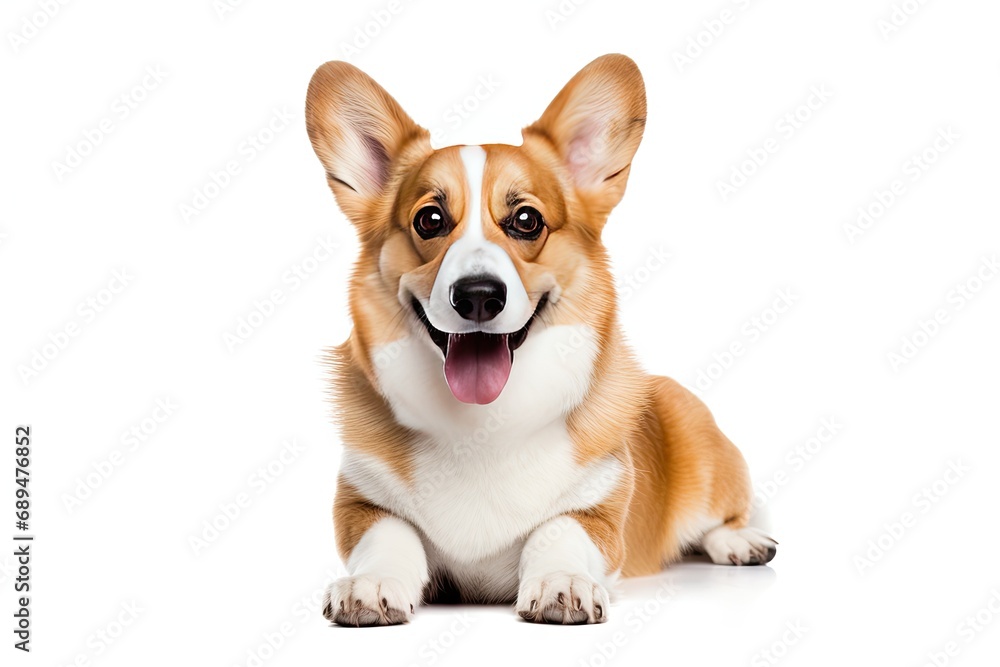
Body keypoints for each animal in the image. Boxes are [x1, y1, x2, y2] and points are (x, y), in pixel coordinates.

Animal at [308, 52, 776, 628]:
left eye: (526, 220)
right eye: (430, 219)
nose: (479, 296)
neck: (483, 424)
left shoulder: (598, 511)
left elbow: (558, 530)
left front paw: (562, 583)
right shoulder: (361, 502)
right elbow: (391, 535)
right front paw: (371, 584)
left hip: (707, 460)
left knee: (724, 516)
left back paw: (740, 542)